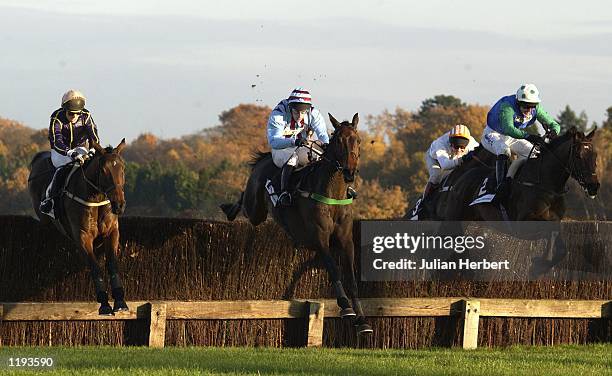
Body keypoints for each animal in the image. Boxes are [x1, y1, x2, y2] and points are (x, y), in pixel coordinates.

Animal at [29, 140, 130, 314]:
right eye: (103, 170)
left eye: (122, 169)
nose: (119, 205)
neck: (96, 198)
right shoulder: (82, 236)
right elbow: (95, 267)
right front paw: (104, 304)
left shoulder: (112, 232)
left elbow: (112, 264)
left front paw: (120, 302)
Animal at [220, 112, 372, 334]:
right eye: (338, 140)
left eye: (358, 140)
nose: (349, 172)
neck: (332, 194)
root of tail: (264, 158)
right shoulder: (319, 238)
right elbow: (333, 268)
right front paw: (345, 307)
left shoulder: (346, 240)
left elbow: (352, 278)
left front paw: (362, 320)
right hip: (256, 209)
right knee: (245, 203)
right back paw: (229, 209)